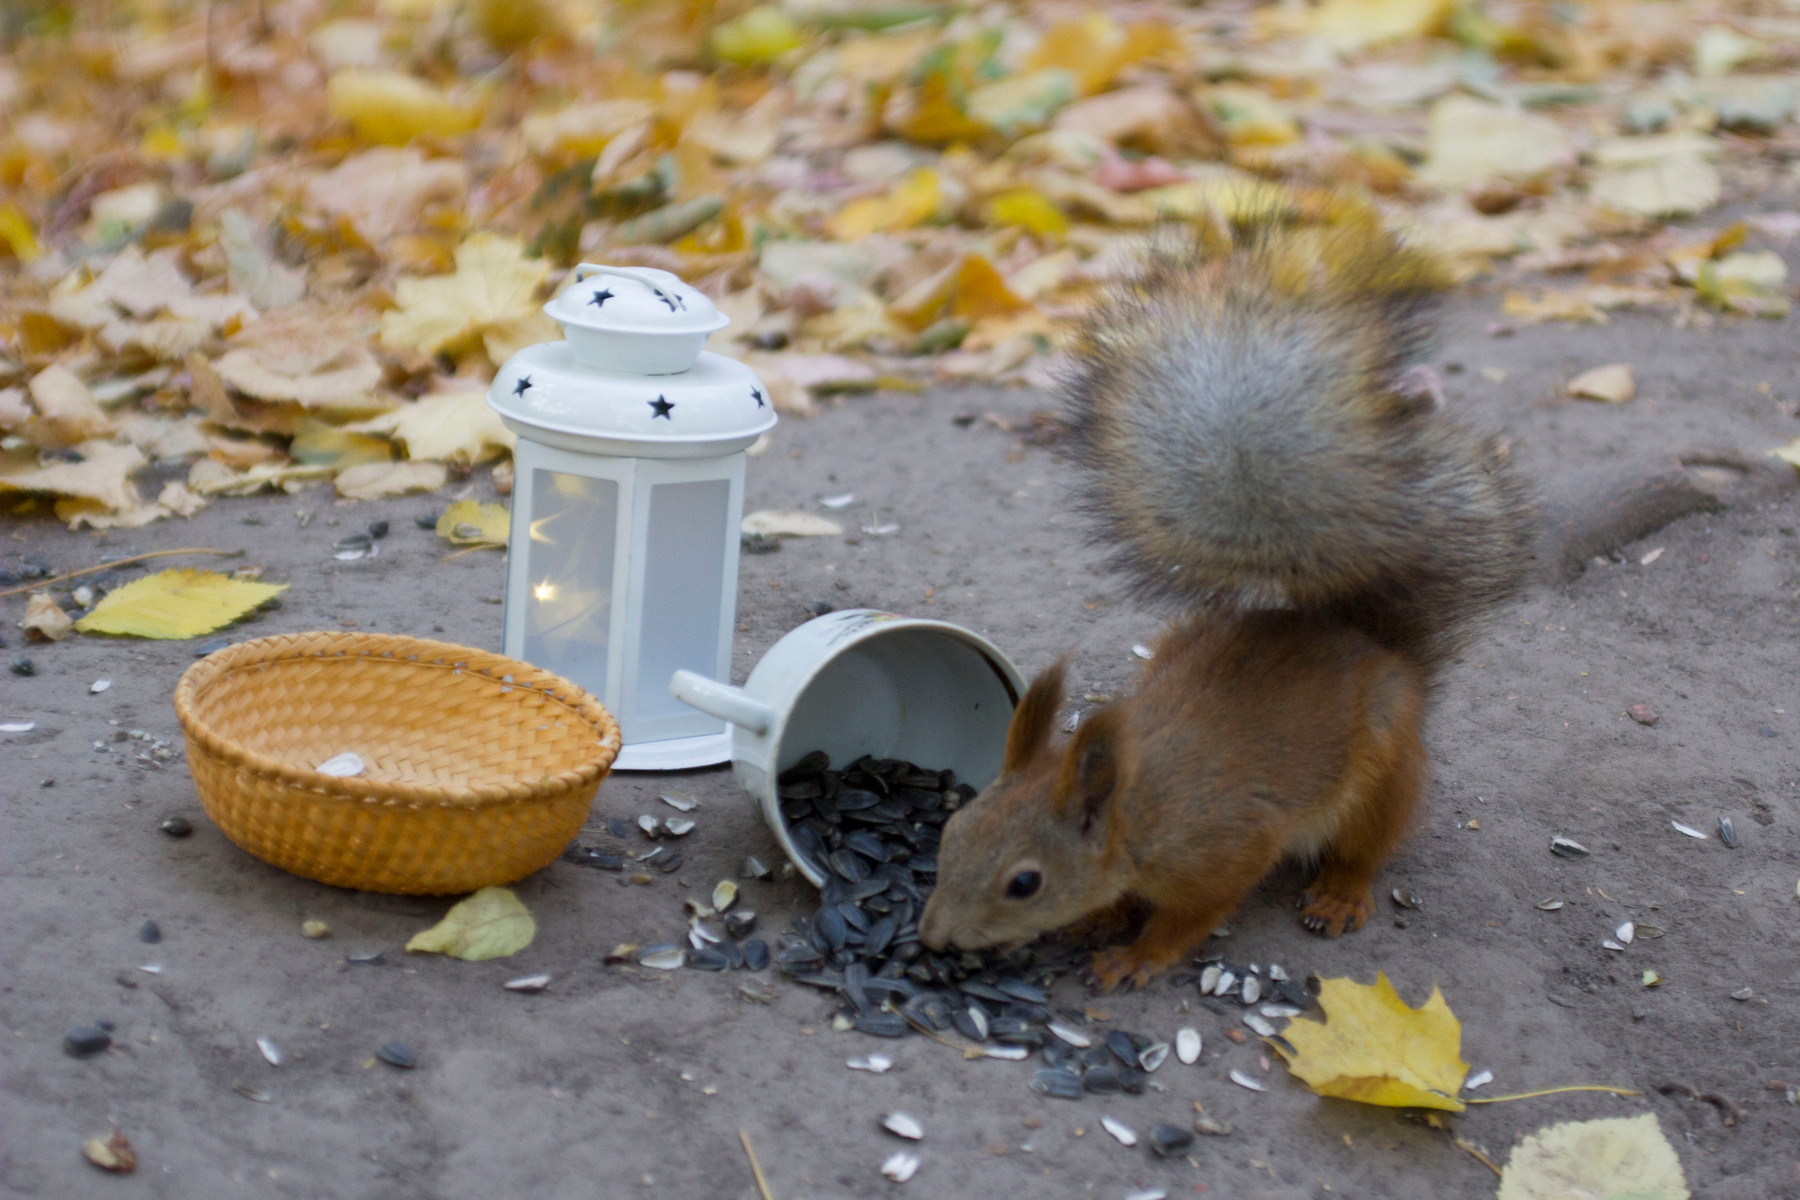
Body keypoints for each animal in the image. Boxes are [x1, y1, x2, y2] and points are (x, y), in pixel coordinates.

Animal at [918, 214, 1535, 992]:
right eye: (952, 830)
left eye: (1024, 883)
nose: (931, 938)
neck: (1138, 811)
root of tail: (1374, 643)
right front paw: (1099, 917)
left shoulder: (1227, 847)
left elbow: (1194, 915)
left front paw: (1134, 956)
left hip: (1384, 765)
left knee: (1370, 843)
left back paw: (1340, 894)